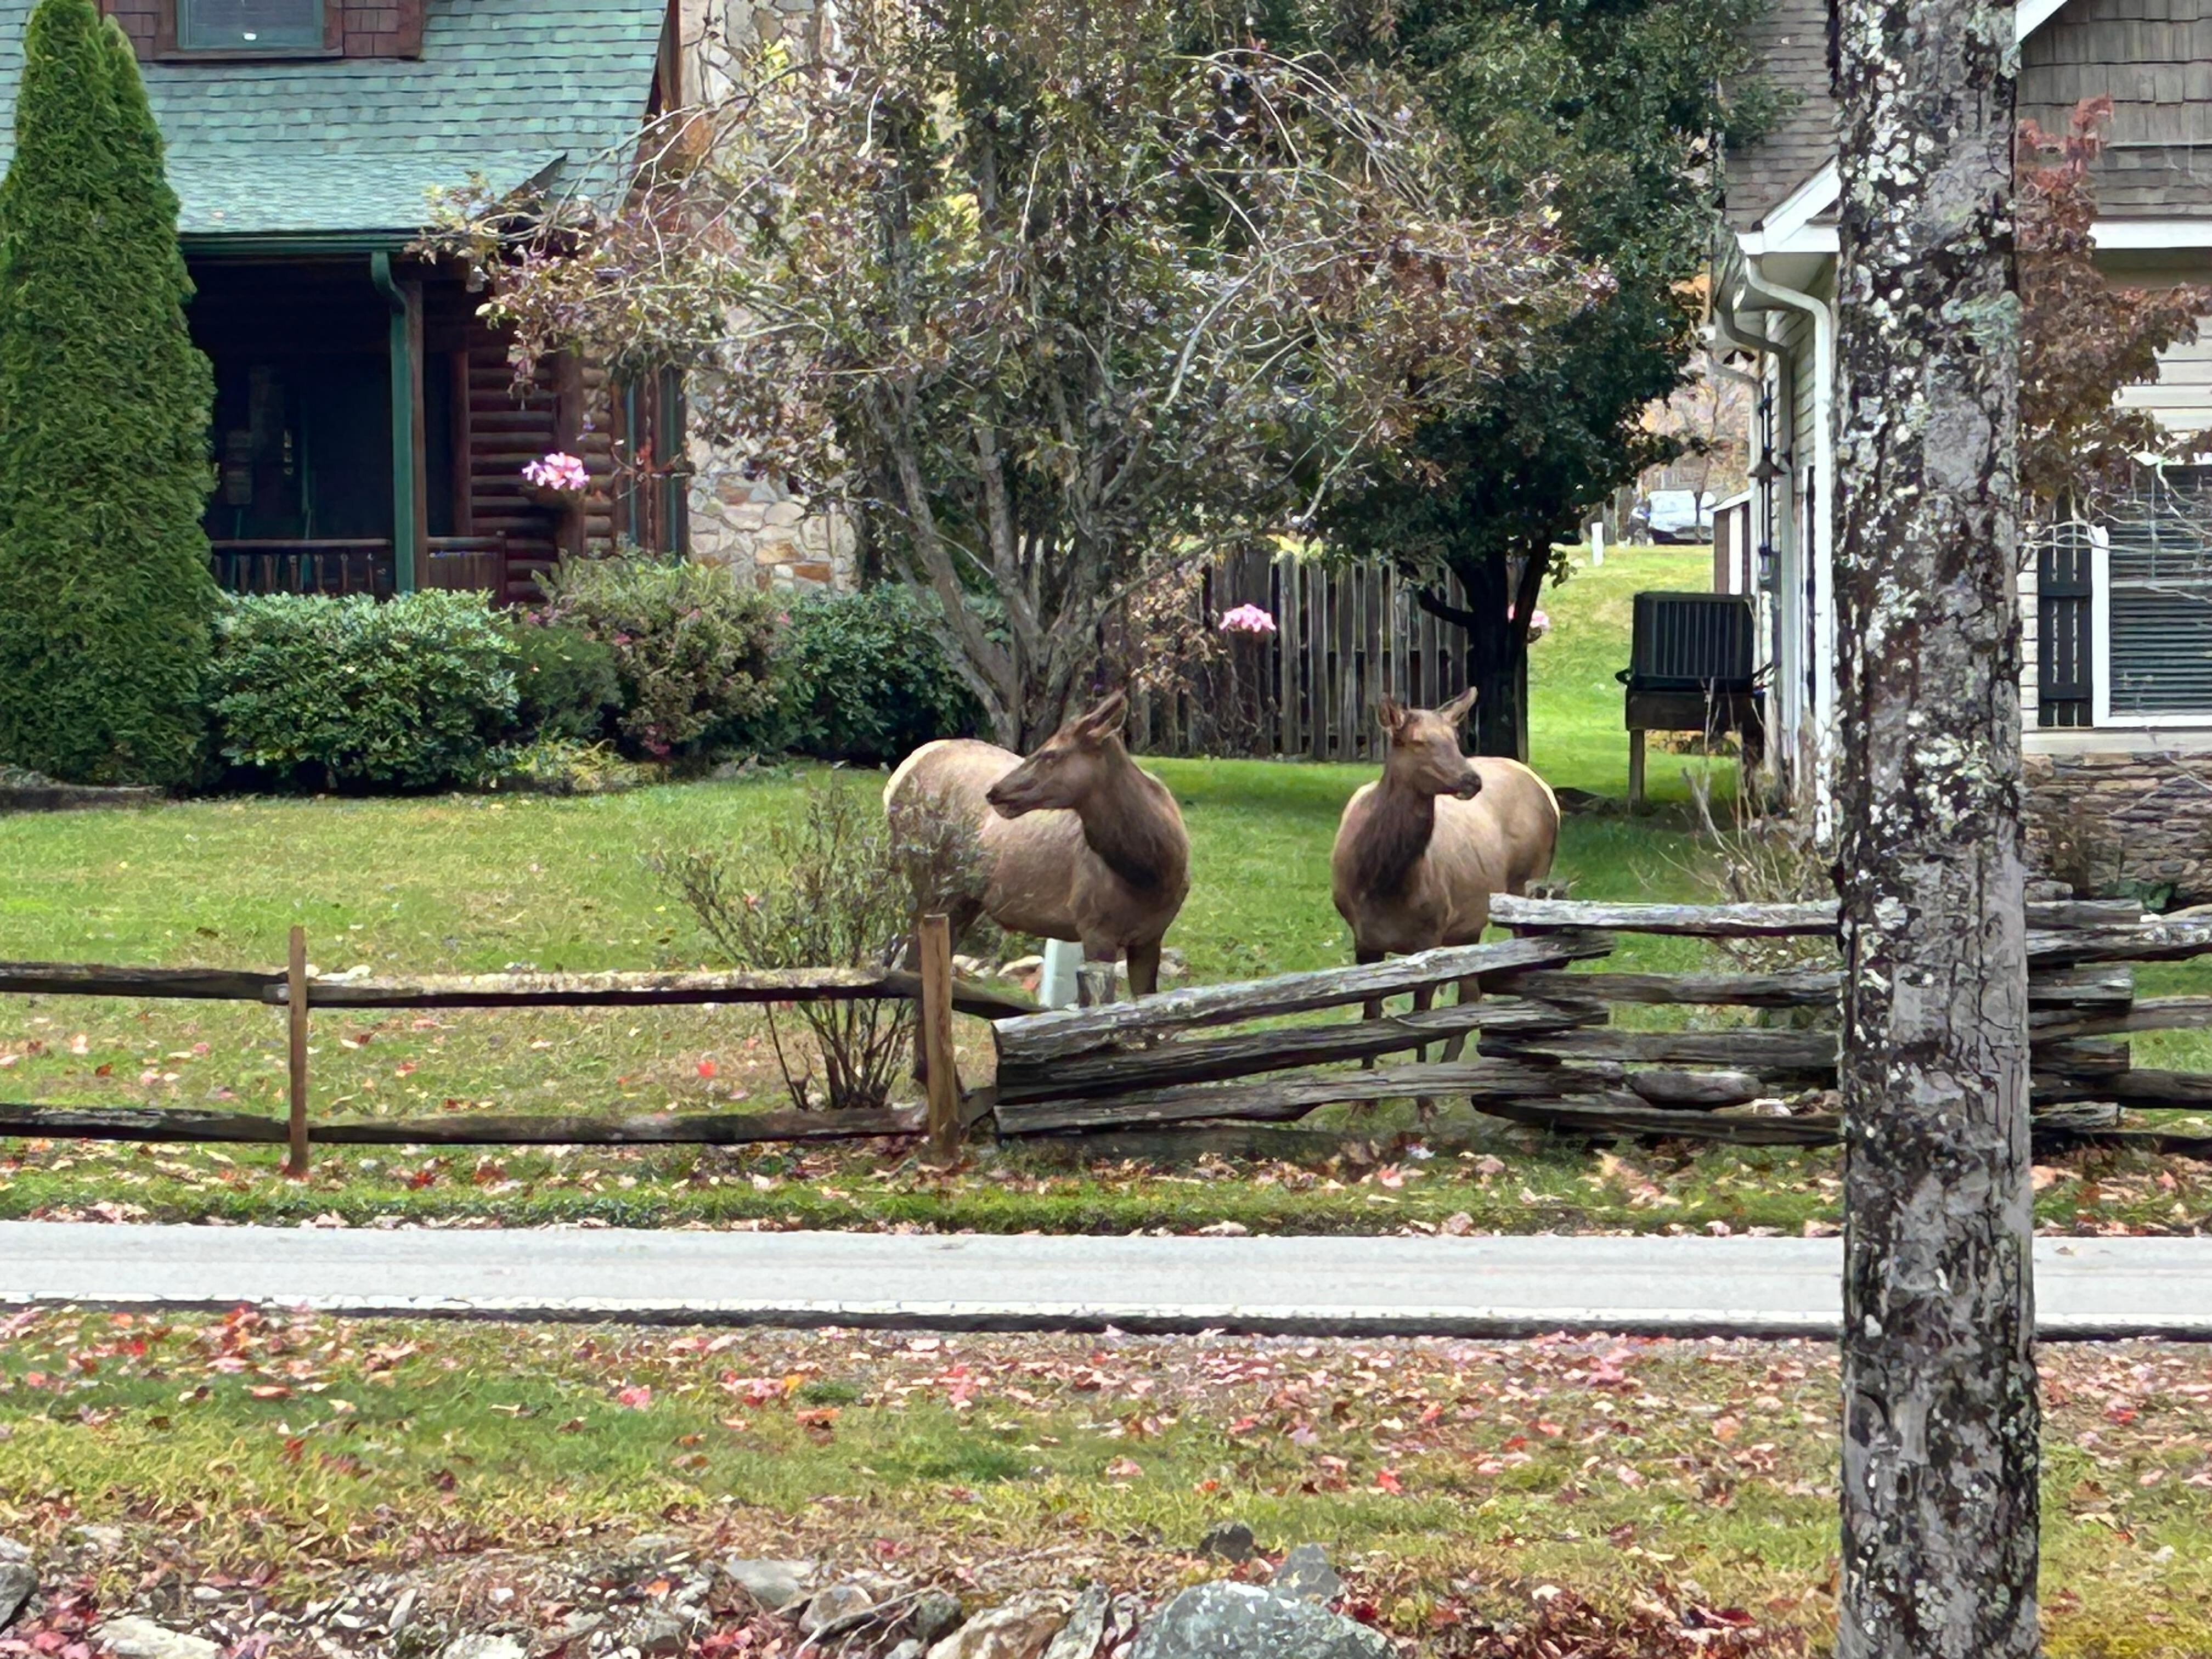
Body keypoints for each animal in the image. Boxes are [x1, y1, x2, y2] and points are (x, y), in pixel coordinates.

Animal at [884, 689, 1191, 1000]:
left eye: (1051, 753)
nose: (995, 792)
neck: (1153, 875)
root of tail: (896, 780)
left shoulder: (1151, 936)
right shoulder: (1095, 927)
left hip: (963, 899)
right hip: (925, 881)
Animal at [1330, 688, 1562, 1056]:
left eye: (1454, 738)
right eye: (1419, 741)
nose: (1472, 779)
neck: (1381, 885)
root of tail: (1546, 790)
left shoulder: (1430, 936)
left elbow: (1422, 1027)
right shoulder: (1364, 940)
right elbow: (1371, 1023)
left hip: (1526, 885)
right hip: (1467, 925)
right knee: (1471, 994)